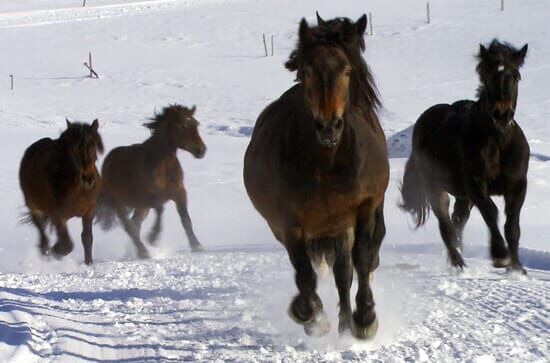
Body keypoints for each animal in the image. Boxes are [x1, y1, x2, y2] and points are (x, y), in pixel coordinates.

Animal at [19, 121, 104, 266]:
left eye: (93, 145)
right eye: (74, 149)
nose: (88, 178)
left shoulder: (89, 212)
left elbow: (87, 239)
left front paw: (89, 264)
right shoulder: (58, 216)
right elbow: (66, 245)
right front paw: (56, 252)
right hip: (34, 207)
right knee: (43, 235)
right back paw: (47, 252)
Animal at [97, 104, 207, 258]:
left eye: (196, 124)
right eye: (182, 125)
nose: (201, 150)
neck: (162, 164)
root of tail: (108, 162)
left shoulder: (179, 193)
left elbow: (186, 219)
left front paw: (197, 246)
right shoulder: (150, 197)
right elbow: (160, 210)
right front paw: (153, 238)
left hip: (141, 208)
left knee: (135, 224)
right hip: (120, 204)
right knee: (129, 227)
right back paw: (143, 252)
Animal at [244, 14, 390, 342]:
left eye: (347, 70)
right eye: (307, 70)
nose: (328, 126)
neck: (324, 164)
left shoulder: (364, 208)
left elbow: (361, 259)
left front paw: (366, 318)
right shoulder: (289, 223)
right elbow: (304, 273)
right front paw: (309, 315)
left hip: (341, 226)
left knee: (344, 273)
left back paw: (347, 323)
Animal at [402, 39, 532, 272]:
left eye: (516, 76)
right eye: (488, 77)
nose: (502, 114)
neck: (498, 142)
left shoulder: (517, 185)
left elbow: (512, 224)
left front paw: (516, 268)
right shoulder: (475, 185)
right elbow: (491, 212)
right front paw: (500, 255)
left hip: (462, 196)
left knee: (458, 220)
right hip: (436, 189)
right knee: (446, 224)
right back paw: (458, 263)